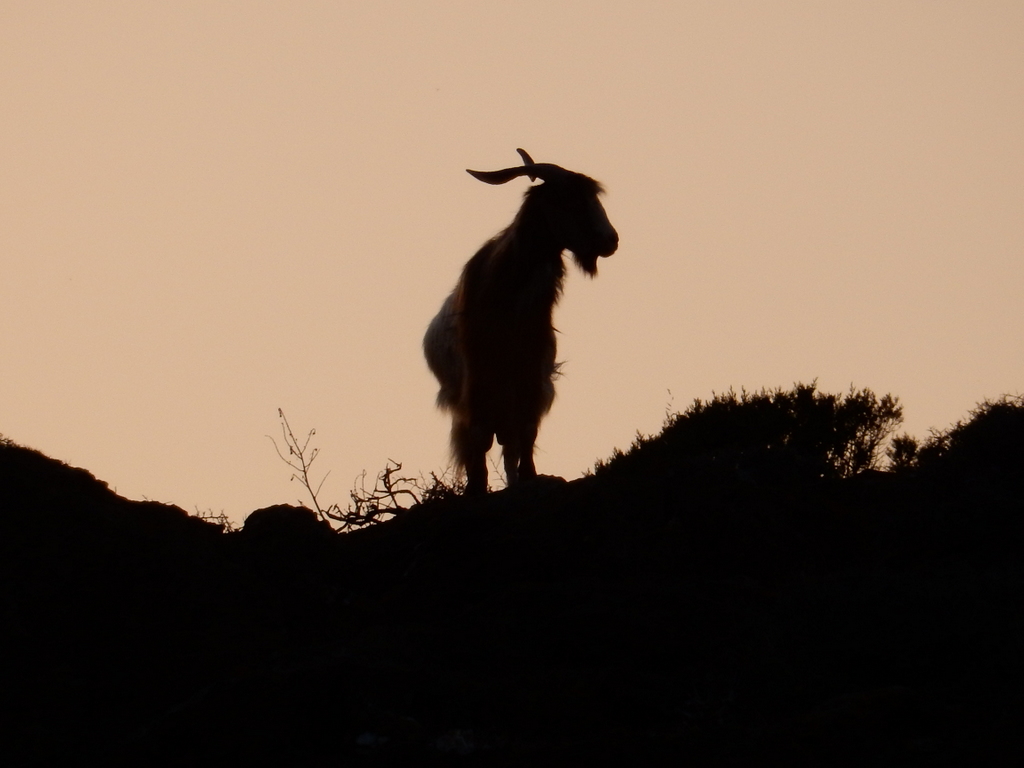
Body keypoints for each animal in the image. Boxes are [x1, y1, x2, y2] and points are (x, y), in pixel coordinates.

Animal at [421, 148, 614, 499]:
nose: (610, 240)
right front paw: (476, 487)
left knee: (509, 443)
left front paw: (529, 476)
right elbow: (479, 438)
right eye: (568, 198)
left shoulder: (531, 376)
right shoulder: (478, 381)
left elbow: (526, 433)